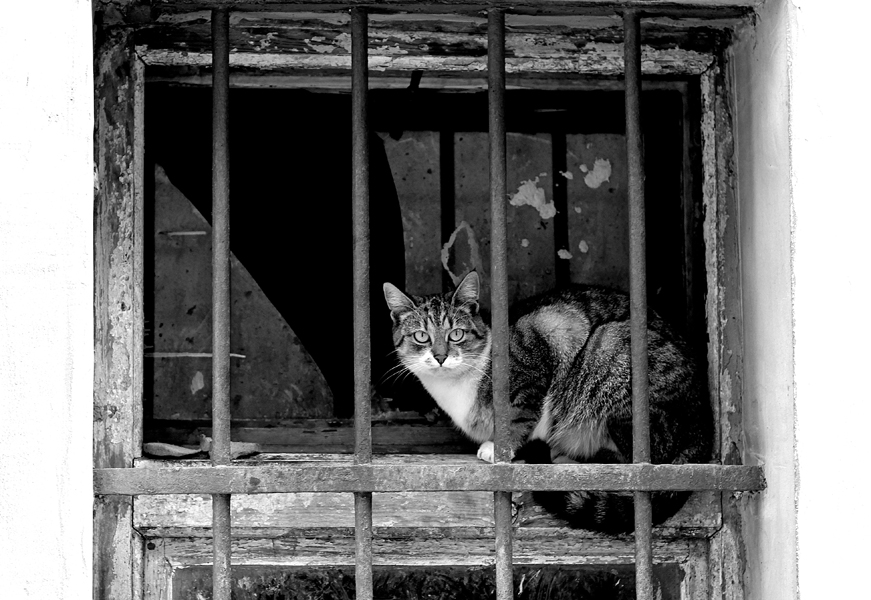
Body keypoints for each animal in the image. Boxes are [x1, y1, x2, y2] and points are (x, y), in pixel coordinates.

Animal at [382, 271, 712, 534]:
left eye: (457, 334)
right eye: (421, 336)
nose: (440, 356)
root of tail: (702, 426)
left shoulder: (545, 336)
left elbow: (519, 413)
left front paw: (500, 447)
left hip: (613, 354)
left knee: (637, 458)